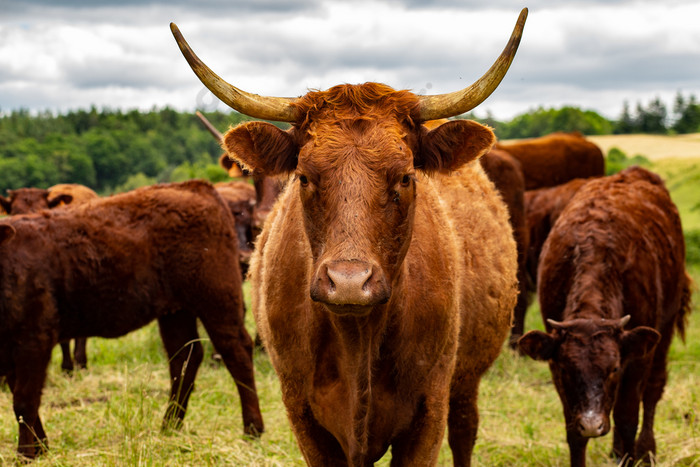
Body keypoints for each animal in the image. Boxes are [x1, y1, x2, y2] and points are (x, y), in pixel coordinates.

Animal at [0, 181, 262, 458]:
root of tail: (196, 186)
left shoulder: (33, 340)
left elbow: (24, 402)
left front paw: (26, 455)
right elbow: (22, 399)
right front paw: (41, 448)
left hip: (217, 299)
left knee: (236, 352)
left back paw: (252, 429)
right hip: (176, 312)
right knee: (184, 358)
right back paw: (170, 426)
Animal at [172, 6, 528, 464]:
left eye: (406, 176)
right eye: (304, 176)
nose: (348, 283)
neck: (357, 338)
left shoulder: (429, 413)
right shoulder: (303, 414)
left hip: (466, 383)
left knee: (465, 432)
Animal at [516, 167, 692, 467]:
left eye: (614, 369)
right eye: (568, 370)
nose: (592, 424)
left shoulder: (636, 359)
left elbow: (627, 416)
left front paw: (632, 456)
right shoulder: (556, 366)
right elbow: (574, 432)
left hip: (665, 327)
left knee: (653, 390)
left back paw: (646, 450)